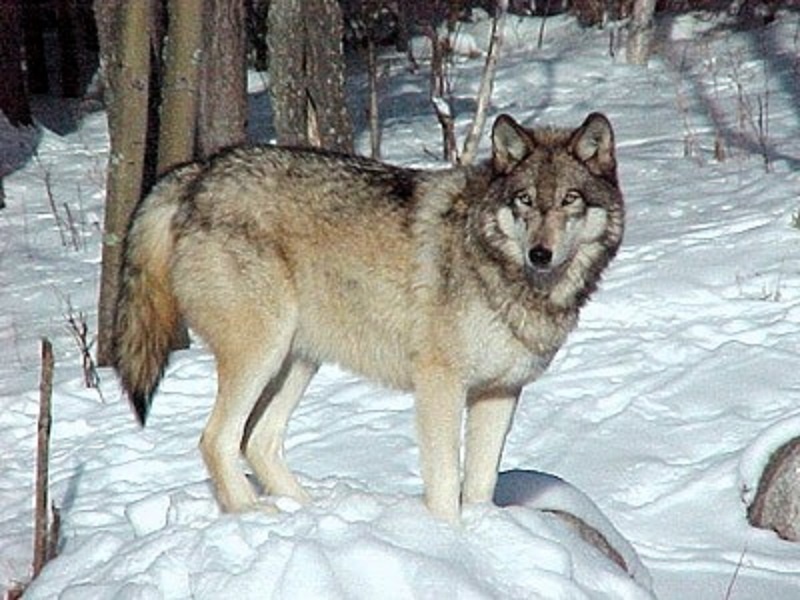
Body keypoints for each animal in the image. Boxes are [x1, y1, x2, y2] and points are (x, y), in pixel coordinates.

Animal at [113, 112, 624, 522]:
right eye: (525, 201)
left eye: (570, 199)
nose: (540, 254)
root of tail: (199, 170)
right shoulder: (439, 384)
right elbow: (445, 481)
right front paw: (448, 537)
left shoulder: (500, 392)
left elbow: (481, 485)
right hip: (263, 353)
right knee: (216, 439)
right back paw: (254, 514)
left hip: (297, 361)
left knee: (256, 440)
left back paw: (308, 512)